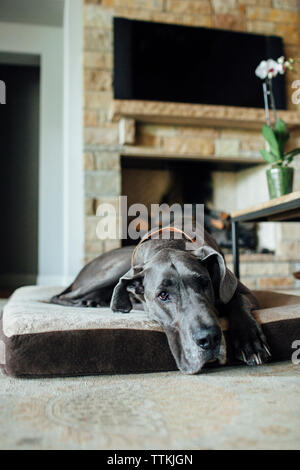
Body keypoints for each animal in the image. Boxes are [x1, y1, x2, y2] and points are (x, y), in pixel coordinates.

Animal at [52, 228, 272, 374]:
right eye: (163, 295)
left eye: (204, 283)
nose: (209, 339)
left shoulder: (245, 292)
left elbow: (236, 300)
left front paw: (249, 342)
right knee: (59, 297)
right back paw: (86, 302)